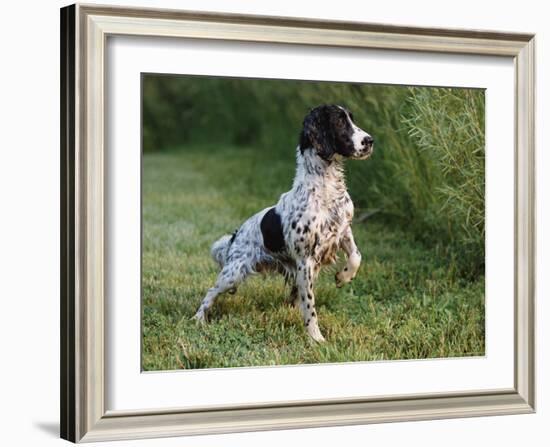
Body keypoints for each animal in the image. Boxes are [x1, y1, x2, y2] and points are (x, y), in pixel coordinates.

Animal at [193, 106, 376, 344]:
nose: (369, 140)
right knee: (210, 292)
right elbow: (310, 307)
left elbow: (356, 257)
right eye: (339, 122)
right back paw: (198, 319)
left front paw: (343, 277)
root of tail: (236, 235)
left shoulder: (342, 231)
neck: (326, 191)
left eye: (352, 119)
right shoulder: (305, 261)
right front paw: (317, 339)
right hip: (232, 274)